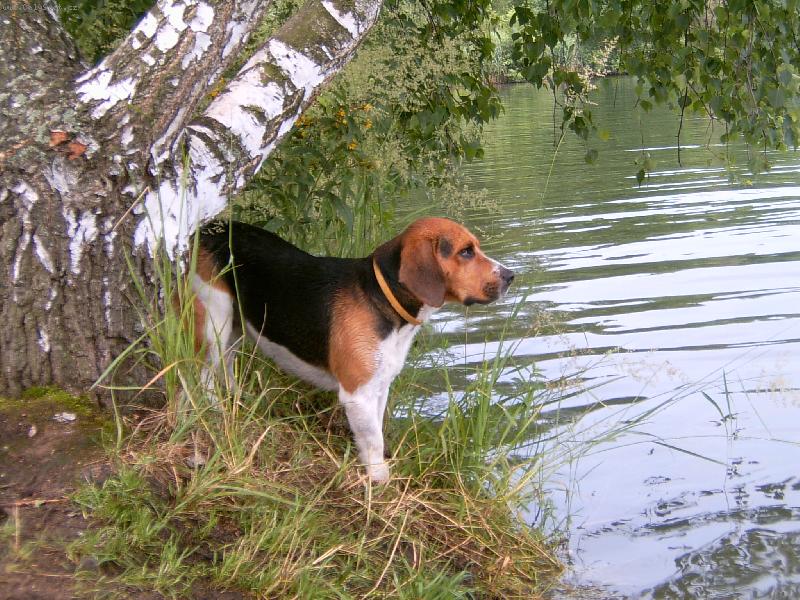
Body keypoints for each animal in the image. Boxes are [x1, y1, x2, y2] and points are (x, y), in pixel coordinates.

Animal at [192, 217, 514, 482]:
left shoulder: (380, 386)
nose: (511, 276)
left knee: (226, 365)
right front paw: (379, 479)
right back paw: (215, 411)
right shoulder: (357, 394)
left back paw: (238, 400)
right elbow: (373, 439)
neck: (382, 296)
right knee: (205, 375)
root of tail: (205, 230)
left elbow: (376, 430)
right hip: (214, 319)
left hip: (235, 326)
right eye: (466, 252)